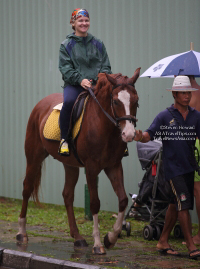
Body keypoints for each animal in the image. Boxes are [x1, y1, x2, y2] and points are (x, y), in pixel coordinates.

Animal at [16, 67, 141, 253]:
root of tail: (40, 105)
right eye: (116, 101)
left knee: (67, 195)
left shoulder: (114, 166)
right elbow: (95, 203)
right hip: (34, 157)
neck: (104, 127)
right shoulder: (91, 168)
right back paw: (21, 233)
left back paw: (77, 237)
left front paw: (111, 238)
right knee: (27, 188)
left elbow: (123, 199)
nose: (129, 134)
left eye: (136, 101)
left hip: (70, 165)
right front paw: (98, 244)